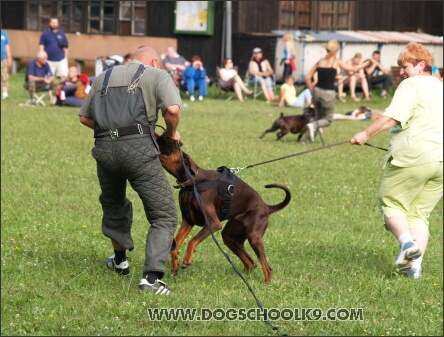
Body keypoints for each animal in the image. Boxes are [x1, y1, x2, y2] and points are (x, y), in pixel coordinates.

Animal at [155, 135, 292, 282]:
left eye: (173, 143)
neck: (193, 181)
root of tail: (266, 207)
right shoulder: (188, 221)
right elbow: (175, 244)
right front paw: (174, 266)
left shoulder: (213, 223)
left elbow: (192, 241)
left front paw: (187, 260)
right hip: (230, 236)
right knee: (251, 263)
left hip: (254, 237)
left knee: (267, 267)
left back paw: (265, 283)